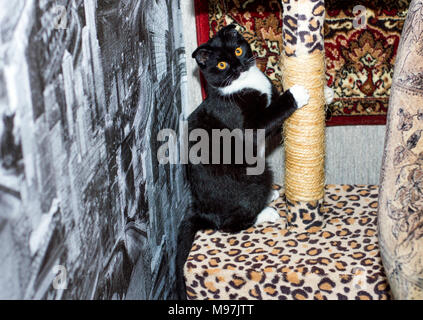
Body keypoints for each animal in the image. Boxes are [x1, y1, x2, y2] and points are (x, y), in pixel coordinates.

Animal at [176, 25, 332, 300]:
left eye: (238, 50)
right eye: (222, 64)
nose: (238, 65)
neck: (244, 83)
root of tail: (200, 210)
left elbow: (277, 115)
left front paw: (325, 92)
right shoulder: (247, 126)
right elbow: (273, 113)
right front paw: (298, 93)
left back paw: (270, 197)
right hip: (256, 175)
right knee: (229, 225)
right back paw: (266, 212)